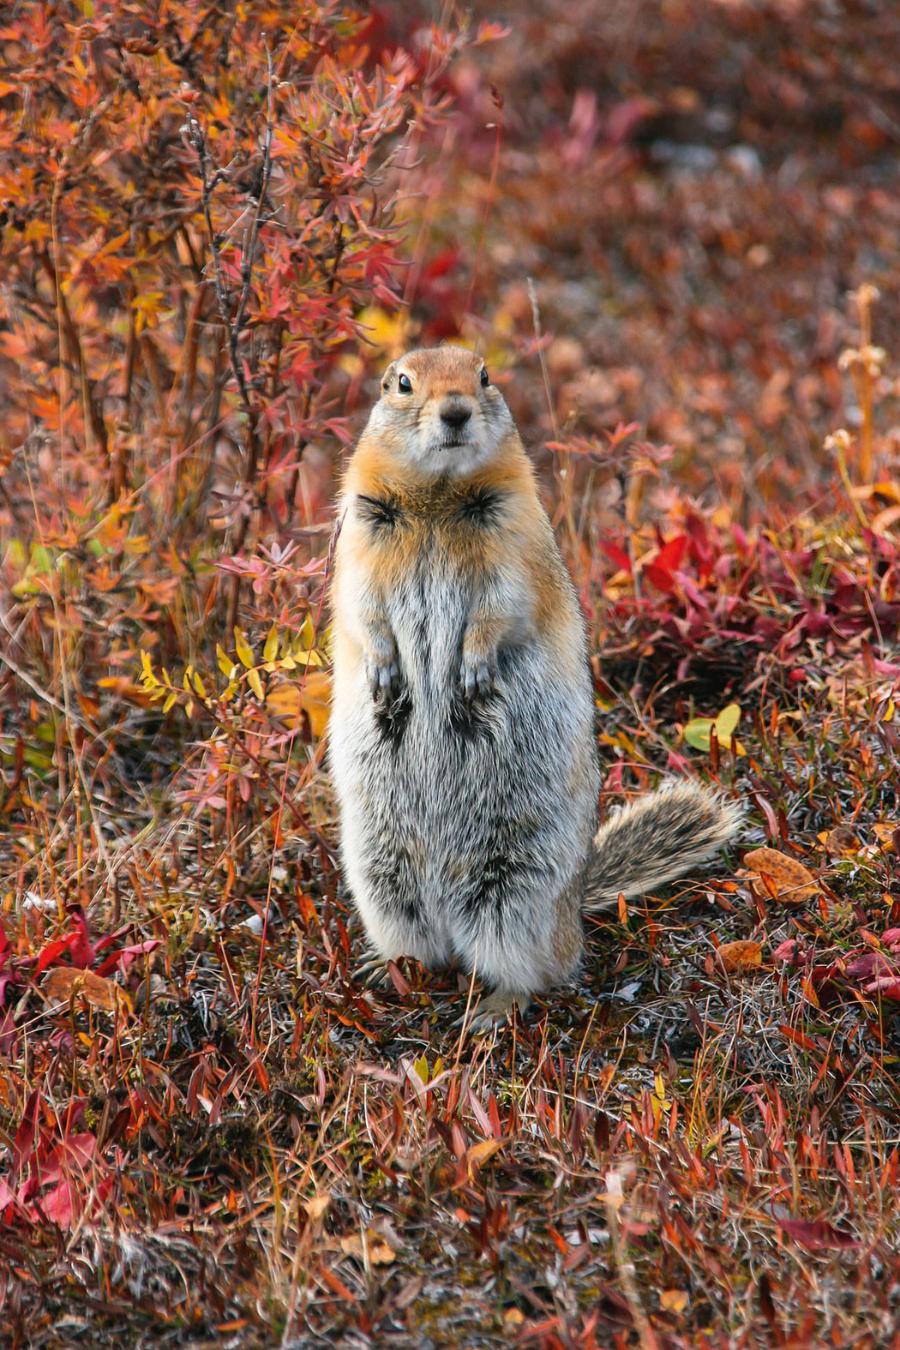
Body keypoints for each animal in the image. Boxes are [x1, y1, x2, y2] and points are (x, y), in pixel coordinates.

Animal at [327, 345, 744, 1020]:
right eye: (403, 383)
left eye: (484, 376)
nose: (455, 411)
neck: (437, 495)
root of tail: (574, 908)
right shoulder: (360, 533)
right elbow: (362, 608)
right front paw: (386, 674)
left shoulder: (514, 534)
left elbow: (501, 606)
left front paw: (471, 674)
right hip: (380, 878)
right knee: (427, 950)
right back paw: (385, 971)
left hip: (517, 893)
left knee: (536, 971)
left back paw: (493, 1010)